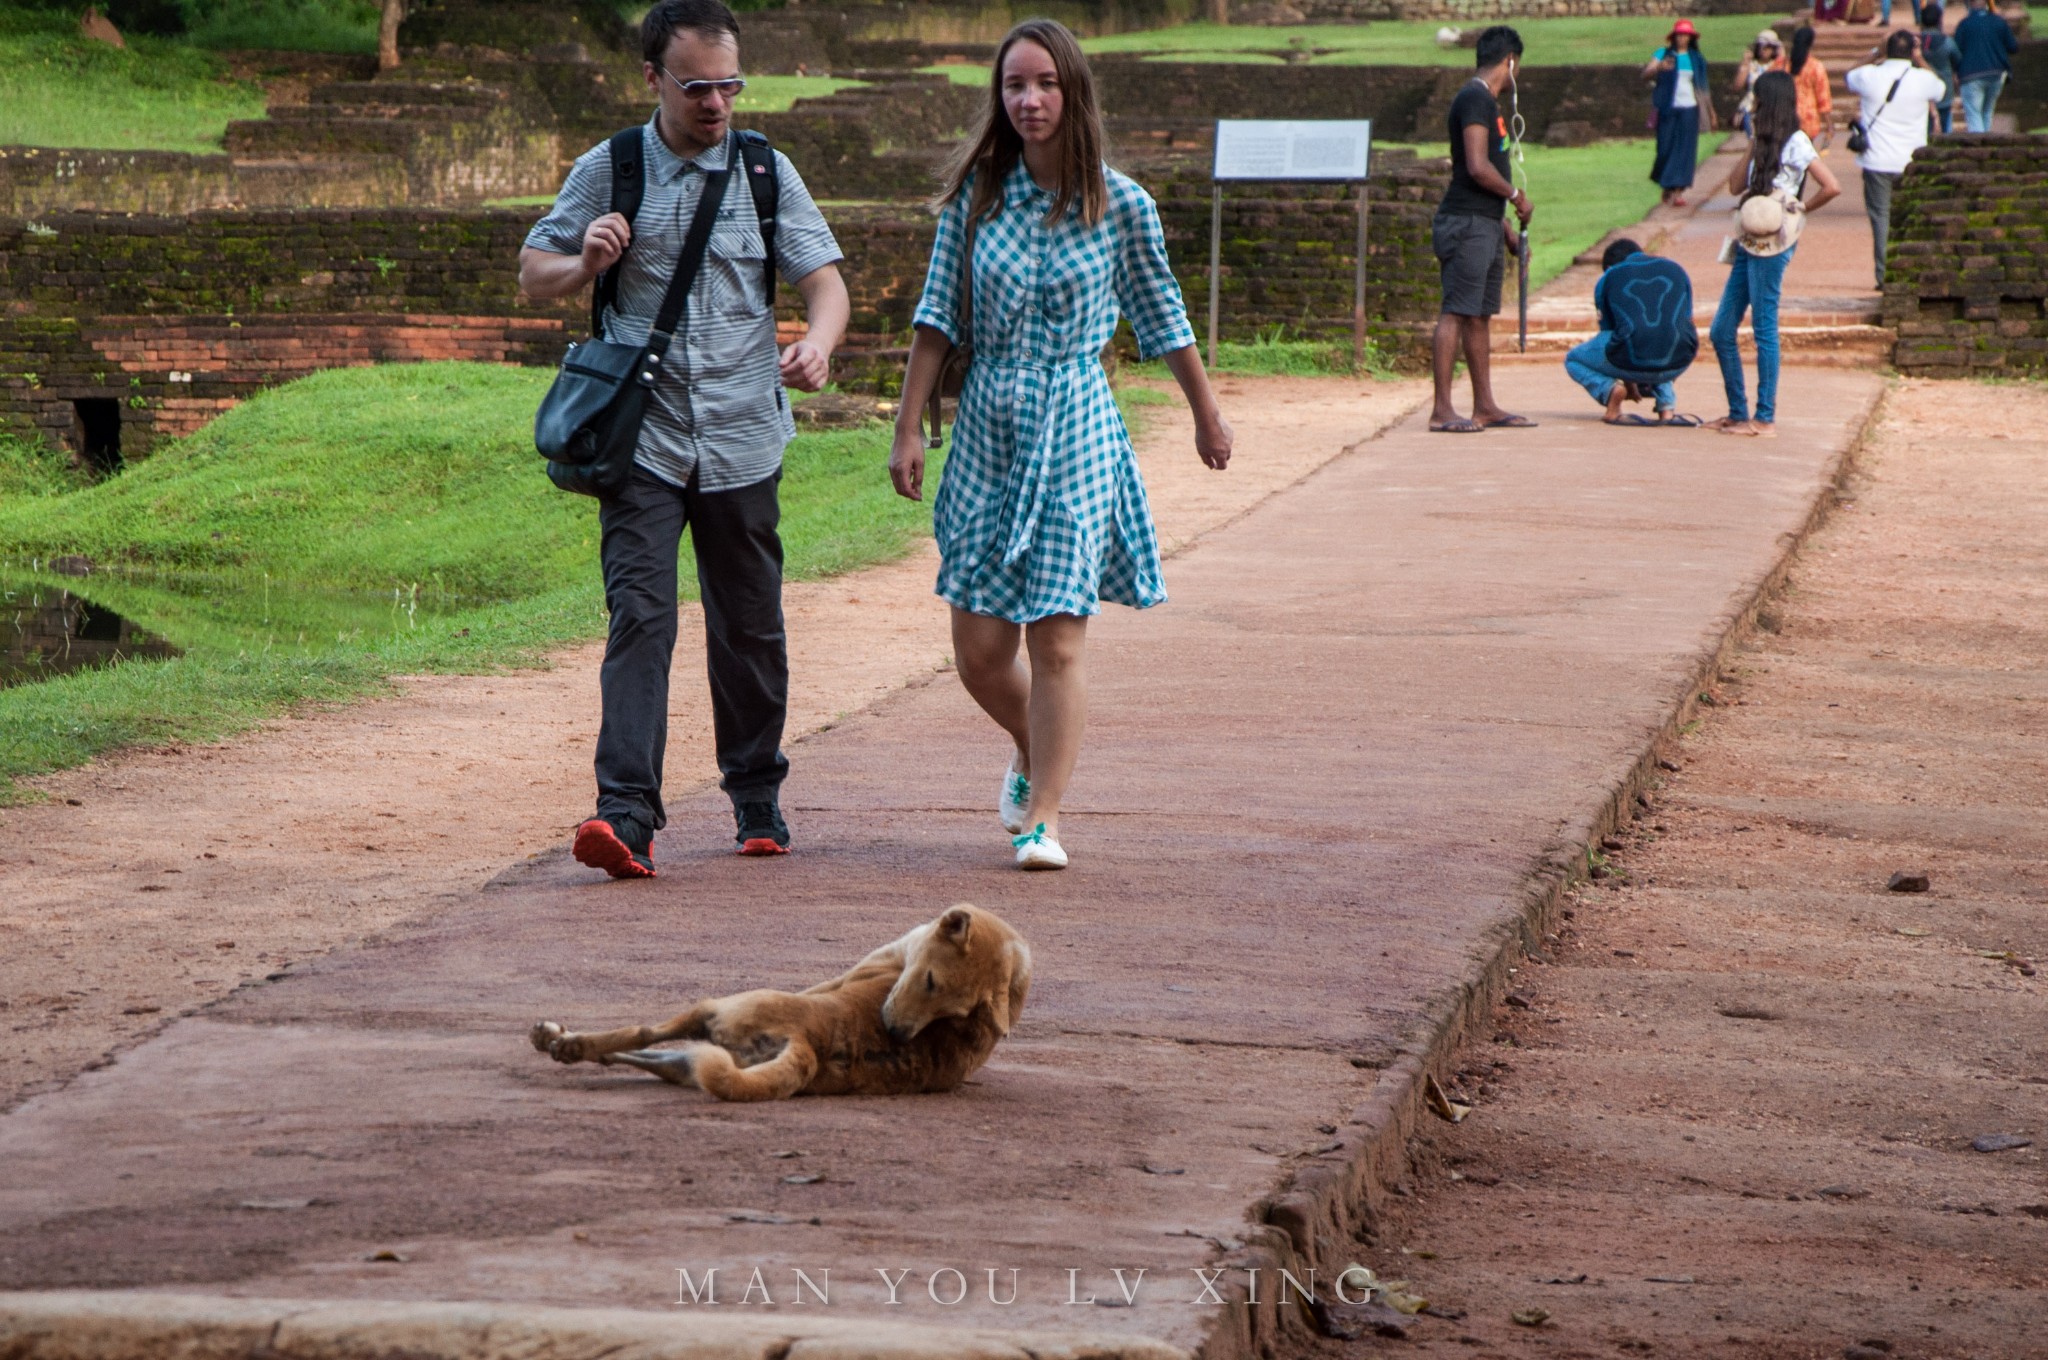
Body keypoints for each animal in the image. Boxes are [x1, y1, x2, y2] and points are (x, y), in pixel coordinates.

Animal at [528, 901, 1032, 1106]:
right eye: (931, 985)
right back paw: (565, 1045)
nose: (896, 1034)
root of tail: (807, 1045)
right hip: (700, 1056)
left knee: (641, 1034)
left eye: (949, 1007)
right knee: (658, 1055)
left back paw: (565, 1043)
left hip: (716, 1007)